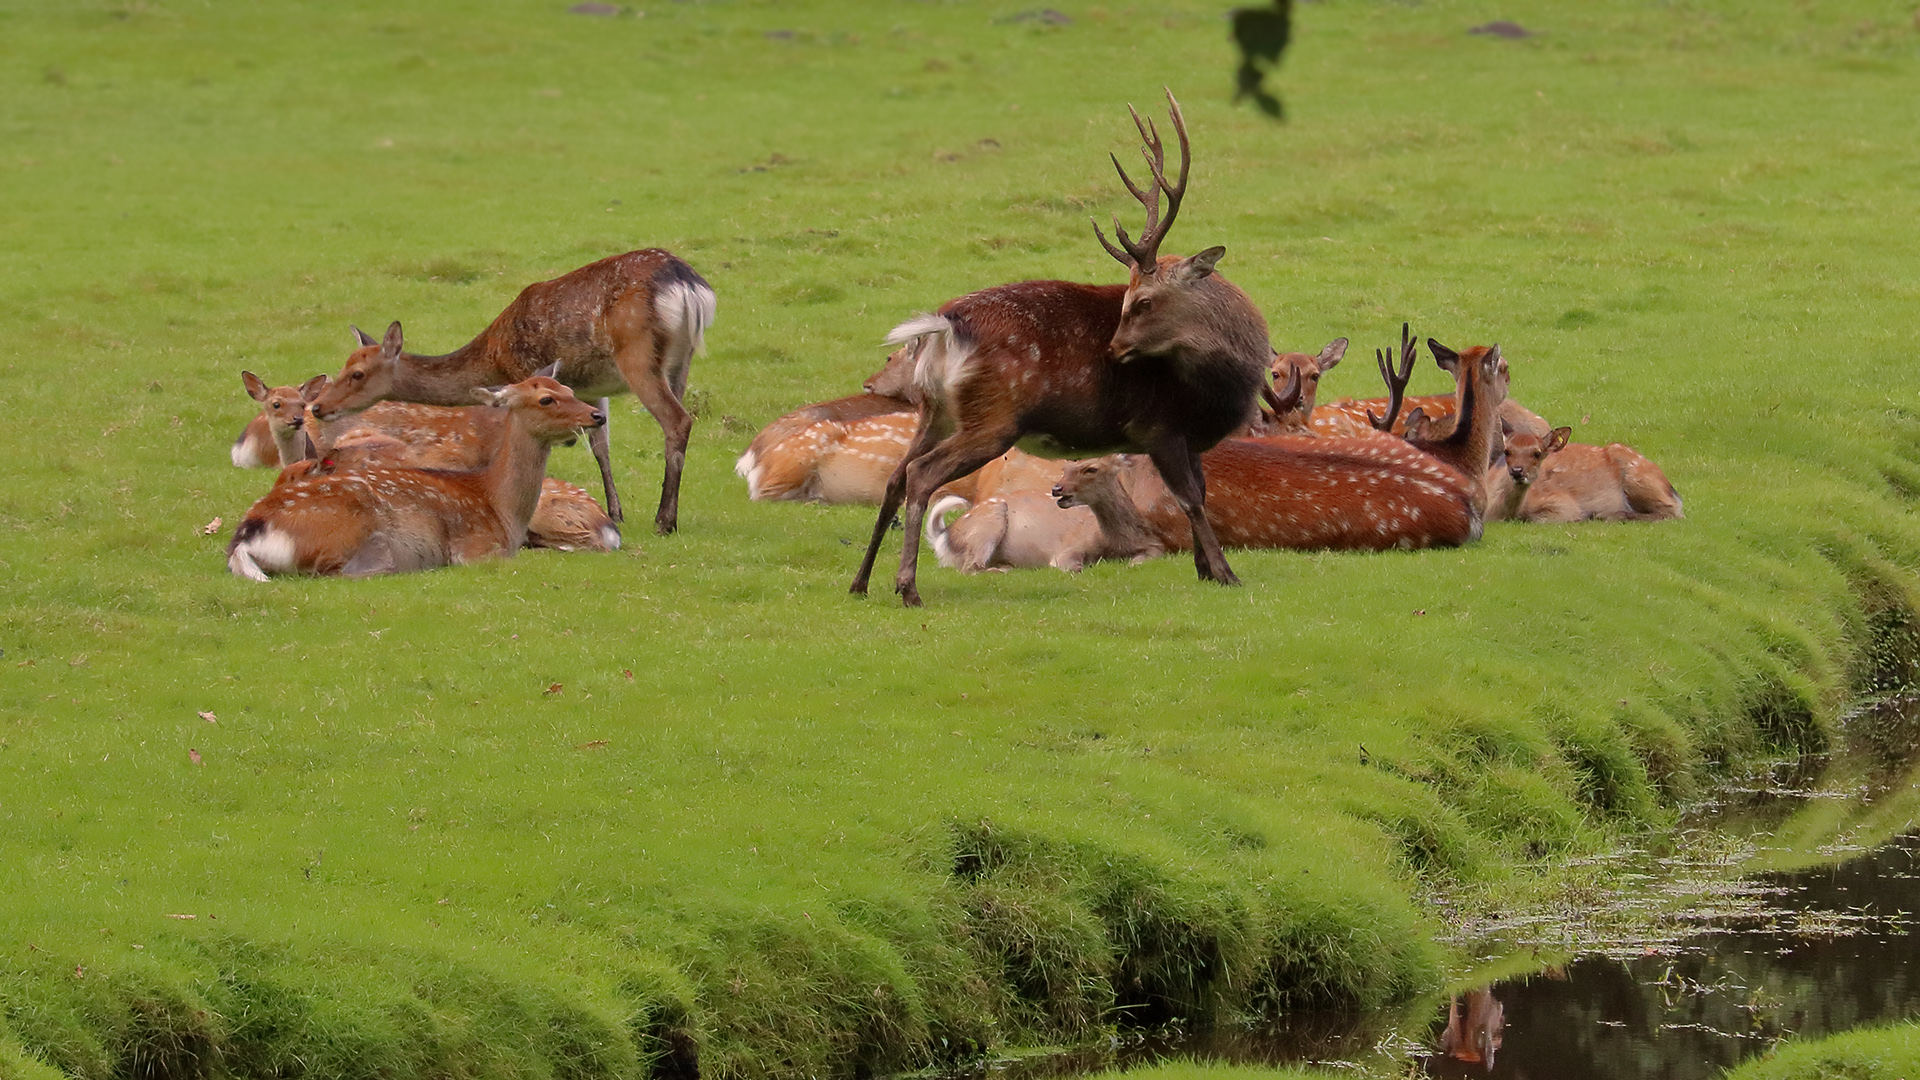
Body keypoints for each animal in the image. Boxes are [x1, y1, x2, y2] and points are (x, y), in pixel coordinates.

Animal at [232, 378, 606, 580]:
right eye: (546, 398)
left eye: (568, 388)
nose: (597, 415)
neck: (503, 509)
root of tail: (245, 538)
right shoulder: (476, 547)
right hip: (340, 531)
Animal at [307, 245, 714, 530]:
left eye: (357, 373)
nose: (318, 407)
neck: (493, 357)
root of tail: (689, 286)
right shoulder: (588, 388)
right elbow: (600, 445)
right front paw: (615, 513)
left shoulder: (529, 376)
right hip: (681, 362)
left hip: (638, 355)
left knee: (677, 420)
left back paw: (665, 521)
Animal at [848, 93, 1267, 607]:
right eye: (1128, 300)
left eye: (1143, 301)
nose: (1112, 351)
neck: (1222, 386)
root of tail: (945, 324)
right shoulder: (1161, 427)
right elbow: (1189, 498)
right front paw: (1225, 573)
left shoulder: (1186, 437)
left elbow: (1201, 495)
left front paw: (1205, 569)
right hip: (994, 416)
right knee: (922, 474)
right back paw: (907, 587)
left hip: (935, 409)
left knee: (894, 477)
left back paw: (860, 583)